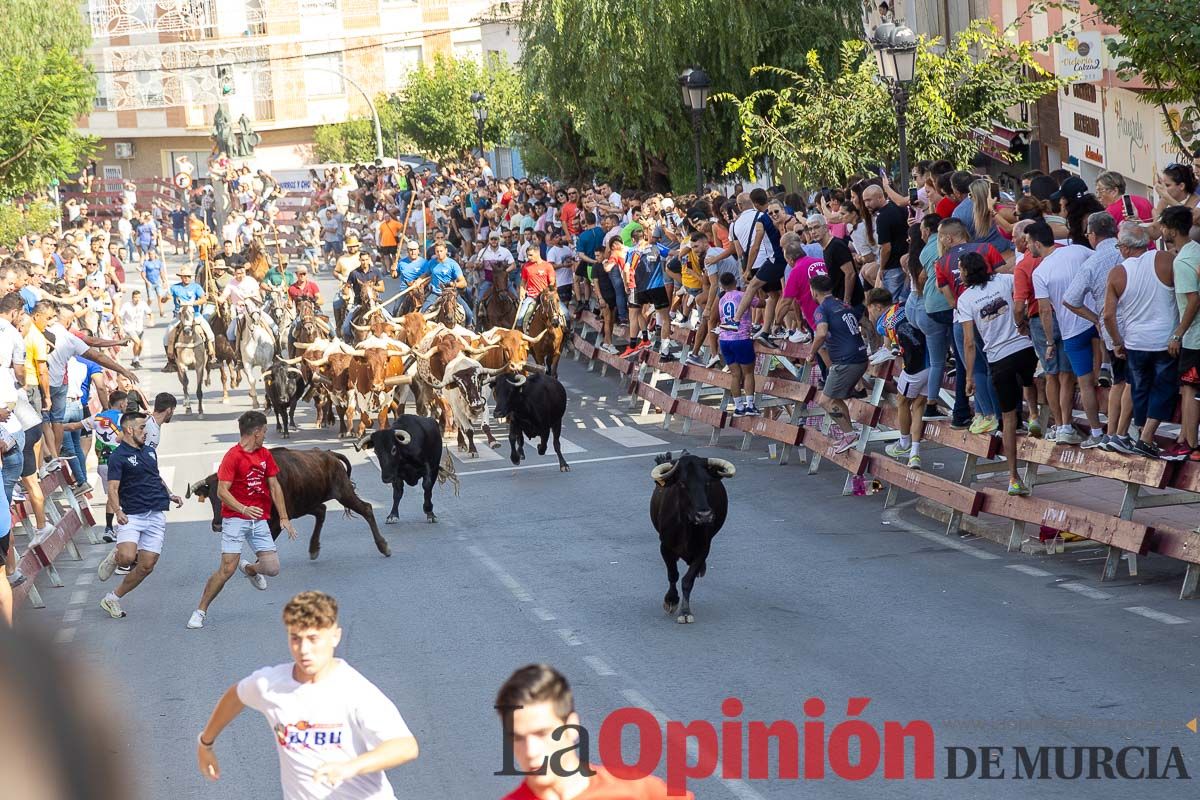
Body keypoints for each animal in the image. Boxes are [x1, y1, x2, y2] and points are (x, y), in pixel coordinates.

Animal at [184, 443, 388, 563]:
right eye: (211, 497)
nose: (218, 525)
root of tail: (330, 455)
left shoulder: (278, 520)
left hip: (343, 493)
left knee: (366, 509)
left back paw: (383, 546)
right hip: (305, 504)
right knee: (321, 511)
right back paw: (314, 548)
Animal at [652, 450, 734, 623]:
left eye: (707, 483)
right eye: (682, 484)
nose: (704, 516)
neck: (686, 526)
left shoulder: (704, 548)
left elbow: (688, 580)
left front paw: (685, 611)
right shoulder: (665, 547)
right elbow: (673, 575)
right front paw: (671, 600)